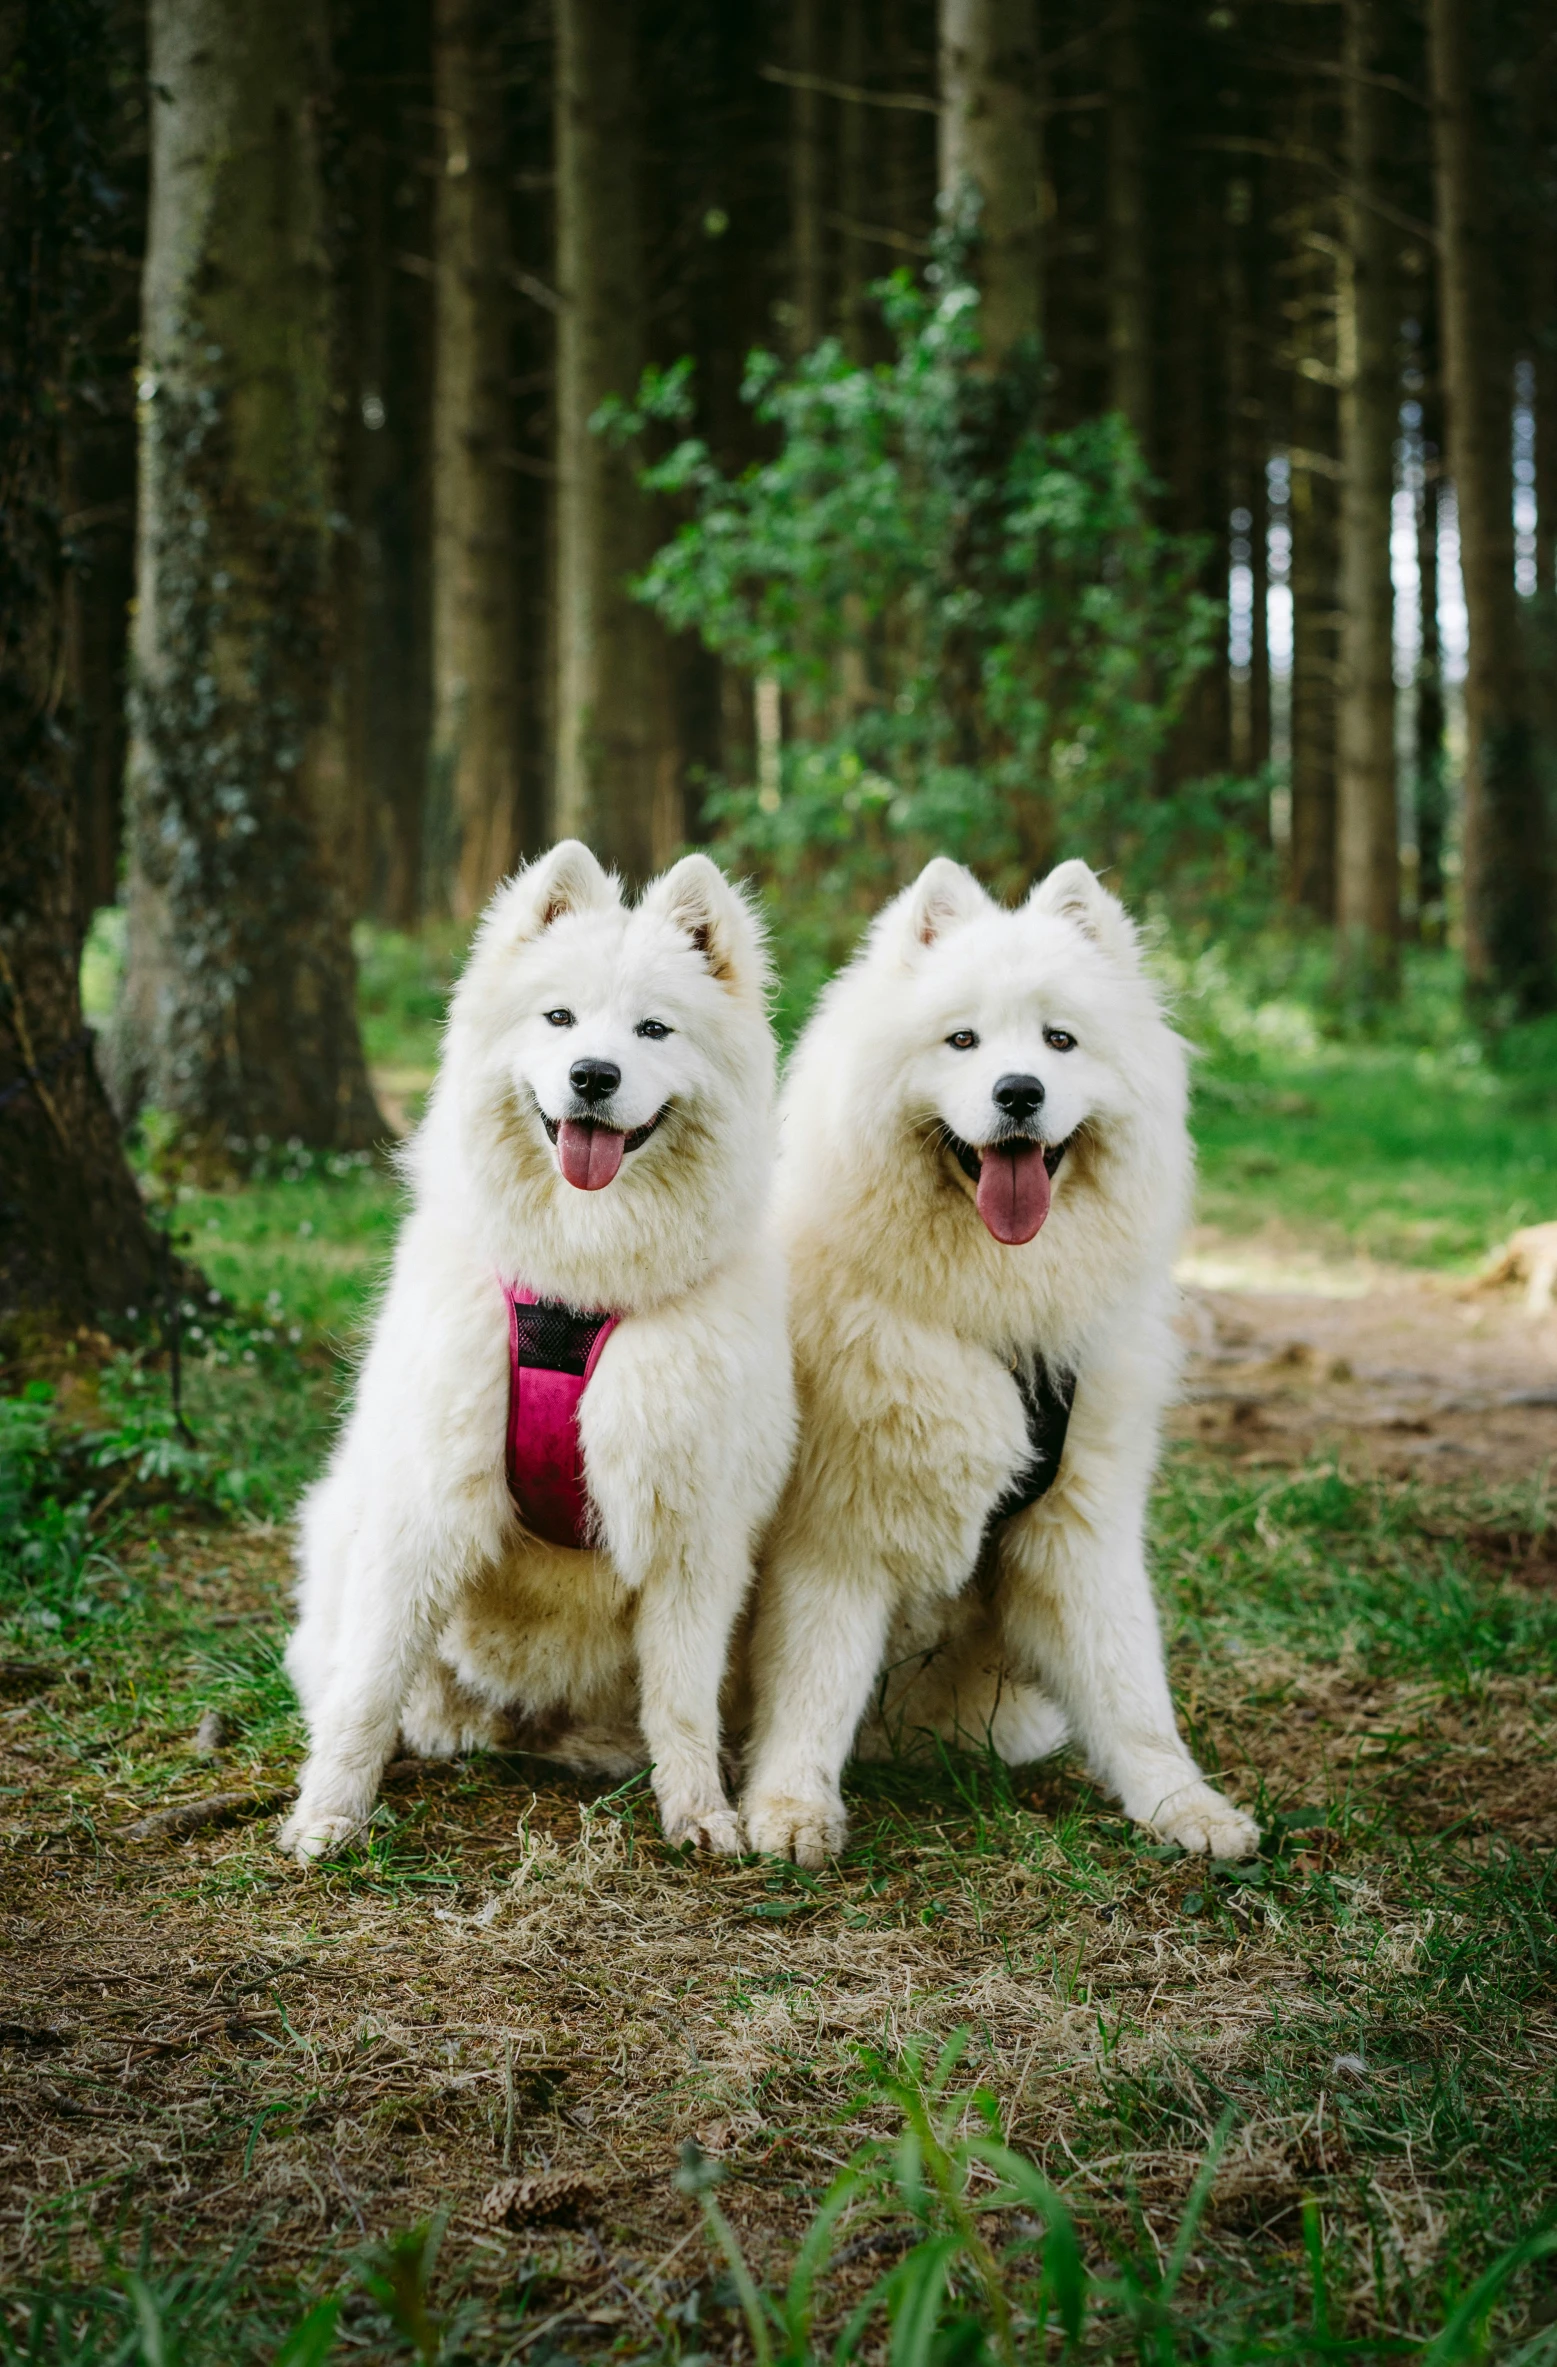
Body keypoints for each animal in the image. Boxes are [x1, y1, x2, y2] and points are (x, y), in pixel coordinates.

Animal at [733, 852, 1258, 1865]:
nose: (1019, 1091)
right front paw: (790, 1806)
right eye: (962, 1040)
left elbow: (1131, 1689)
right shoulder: (839, 1528)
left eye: (1060, 1041)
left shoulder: (1077, 1524)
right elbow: (811, 1680)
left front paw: (1184, 1805)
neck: (991, 1316)